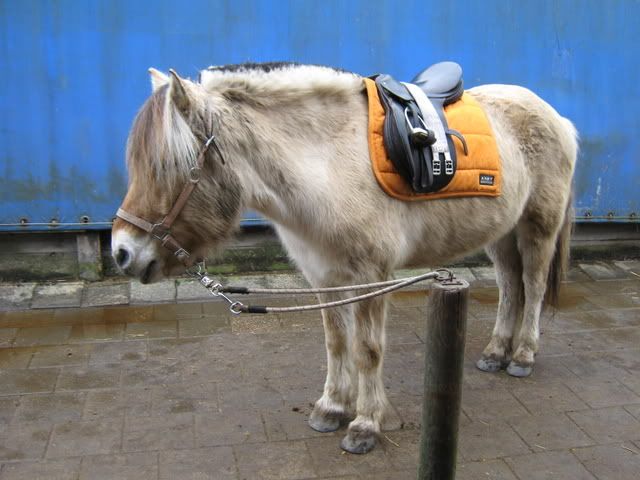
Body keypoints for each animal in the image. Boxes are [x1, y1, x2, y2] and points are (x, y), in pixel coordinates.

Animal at [111, 62, 578, 454]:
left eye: (170, 167)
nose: (121, 252)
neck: (329, 163)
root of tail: (556, 117)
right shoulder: (325, 276)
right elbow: (337, 343)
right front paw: (332, 407)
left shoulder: (372, 275)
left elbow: (367, 349)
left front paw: (365, 425)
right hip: (503, 234)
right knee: (510, 287)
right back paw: (497, 352)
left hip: (538, 227)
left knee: (532, 286)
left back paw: (522, 356)